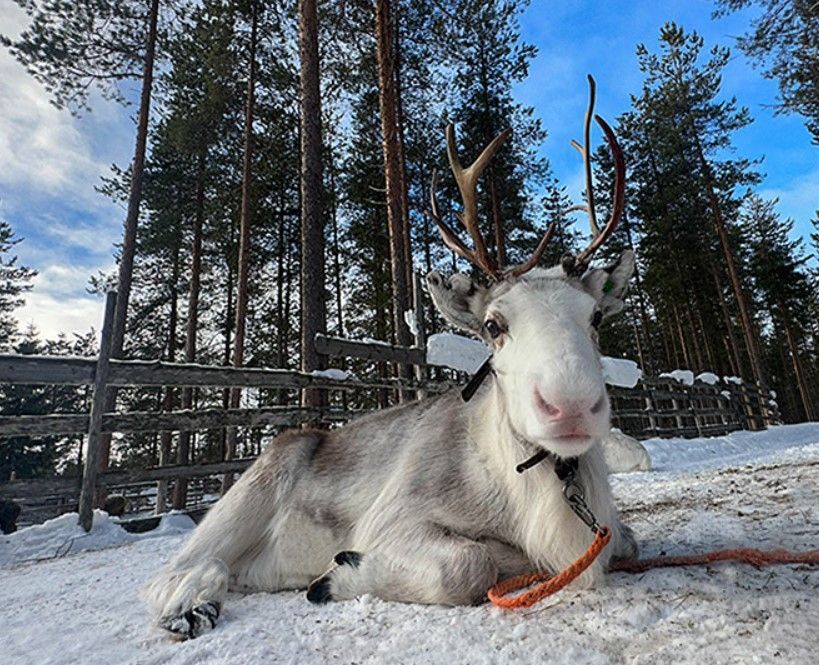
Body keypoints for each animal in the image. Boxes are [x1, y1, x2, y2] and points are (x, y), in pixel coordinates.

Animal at [145, 76, 638, 639]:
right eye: (494, 326)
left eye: (595, 317)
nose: (570, 406)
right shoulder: (394, 519)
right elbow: (468, 563)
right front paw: (337, 575)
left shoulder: (603, 533)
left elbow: (623, 541)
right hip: (254, 487)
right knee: (182, 566)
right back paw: (192, 606)